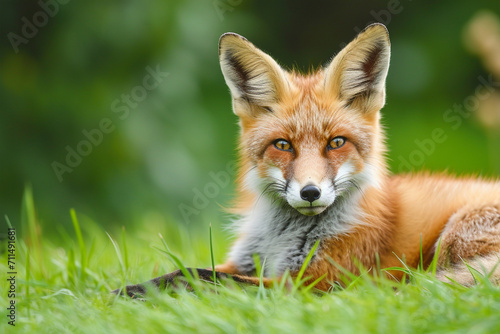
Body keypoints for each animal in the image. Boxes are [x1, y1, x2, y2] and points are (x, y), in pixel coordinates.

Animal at [115, 22, 500, 296]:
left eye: (336, 142)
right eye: (283, 145)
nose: (310, 193)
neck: (280, 239)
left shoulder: (308, 284)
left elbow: (199, 277)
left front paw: (131, 296)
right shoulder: (243, 262)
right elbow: (183, 270)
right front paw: (128, 289)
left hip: (456, 232)